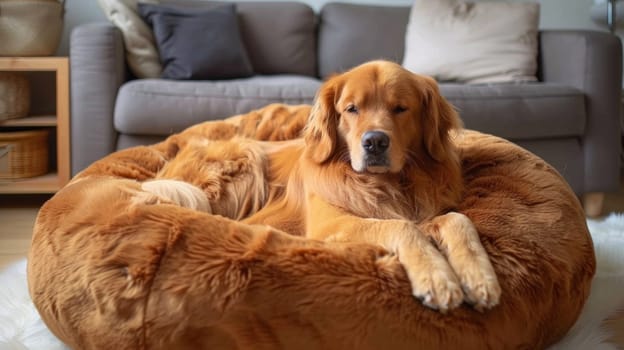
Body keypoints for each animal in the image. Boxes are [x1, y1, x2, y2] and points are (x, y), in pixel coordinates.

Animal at [144, 59, 500, 312]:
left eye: (401, 108)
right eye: (351, 109)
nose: (374, 142)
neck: (388, 184)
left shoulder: (428, 211)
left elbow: (458, 219)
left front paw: (479, 277)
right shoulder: (333, 223)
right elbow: (400, 227)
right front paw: (437, 278)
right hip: (245, 156)